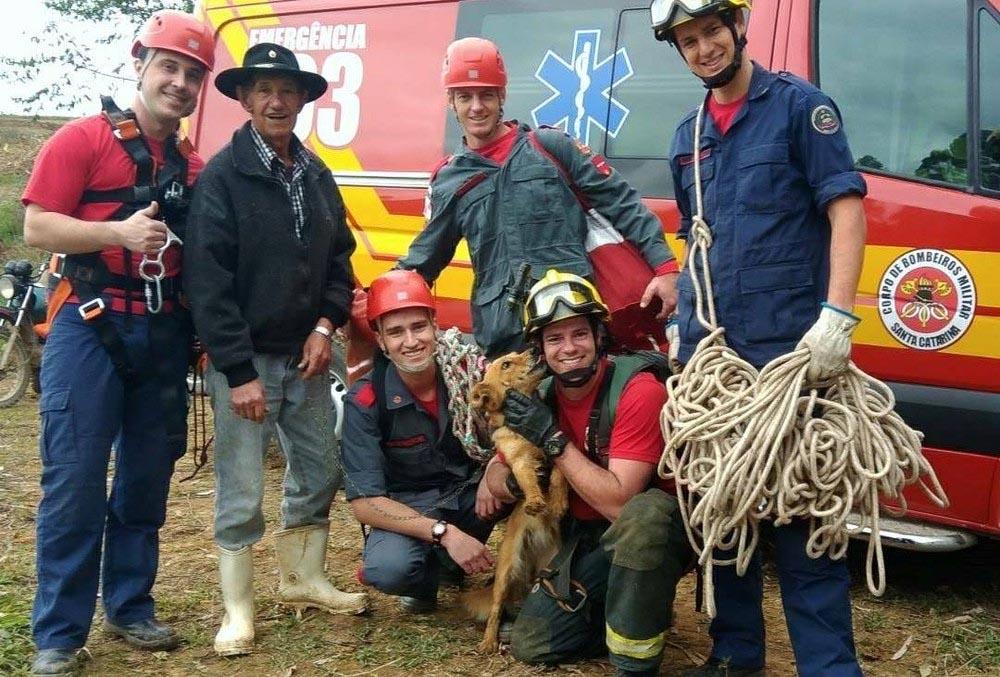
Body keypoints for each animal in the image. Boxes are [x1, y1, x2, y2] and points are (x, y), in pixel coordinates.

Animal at [464, 352, 568, 652]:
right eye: (506, 364)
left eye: (516, 354)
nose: (534, 349)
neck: (526, 434)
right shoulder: (518, 463)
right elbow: (528, 481)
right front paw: (534, 501)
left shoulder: (552, 450)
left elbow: (558, 474)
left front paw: (558, 502)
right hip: (505, 572)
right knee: (496, 608)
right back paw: (489, 641)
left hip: (546, 570)